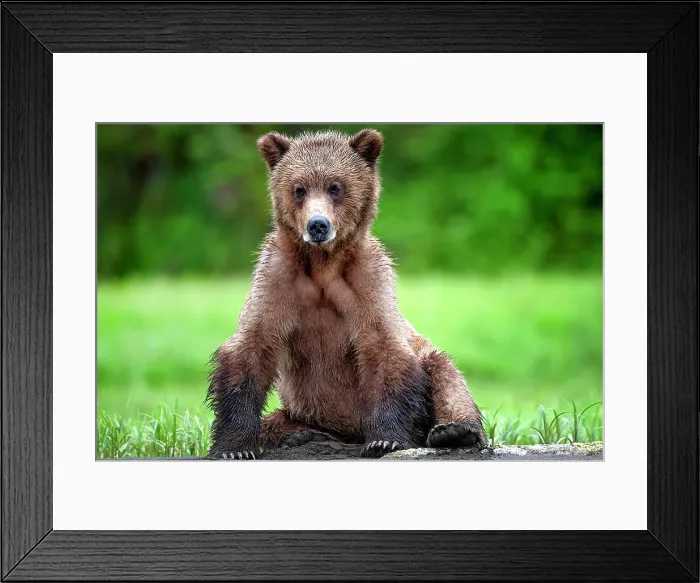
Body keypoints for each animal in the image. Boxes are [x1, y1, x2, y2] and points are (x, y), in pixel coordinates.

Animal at [206, 129, 486, 459]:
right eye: (299, 189)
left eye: (335, 187)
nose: (318, 225)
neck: (323, 266)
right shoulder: (276, 279)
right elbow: (251, 347)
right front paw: (234, 447)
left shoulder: (369, 282)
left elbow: (385, 349)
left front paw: (385, 440)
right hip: (302, 411)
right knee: (274, 422)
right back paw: (299, 436)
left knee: (444, 370)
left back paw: (455, 430)